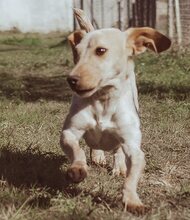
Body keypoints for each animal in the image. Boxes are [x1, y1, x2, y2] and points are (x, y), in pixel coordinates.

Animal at [60, 26, 171, 213]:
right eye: (77, 52)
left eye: (101, 50)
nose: (71, 80)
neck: (104, 100)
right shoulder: (69, 133)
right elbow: (77, 150)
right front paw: (78, 168)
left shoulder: (134, 148)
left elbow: (131, 177)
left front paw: (132, 200)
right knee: (93, 146)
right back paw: (97, 156)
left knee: (118, 150)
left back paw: (119, 166)